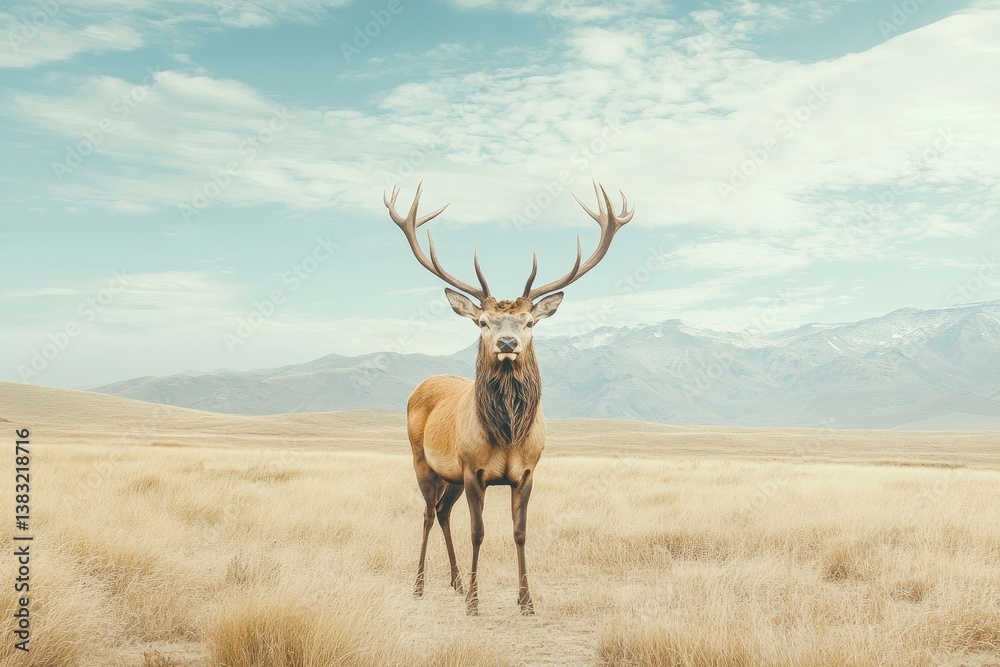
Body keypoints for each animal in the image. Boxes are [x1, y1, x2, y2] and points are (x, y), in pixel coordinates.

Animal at [384, 181, 633, 615]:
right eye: (483, 322)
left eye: (529, 322)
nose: (506, 343)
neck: (508, 433)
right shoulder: (473, 470)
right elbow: (478, 533)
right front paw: (474, 603)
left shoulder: (527, 472)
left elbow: (519, 533)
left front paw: (526, 601)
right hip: (423, 461)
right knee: (429, 513)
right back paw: (420, 585)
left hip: (449, 475)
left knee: (443, 513)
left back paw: (453, 581)